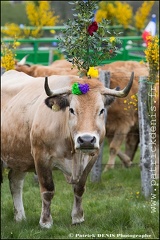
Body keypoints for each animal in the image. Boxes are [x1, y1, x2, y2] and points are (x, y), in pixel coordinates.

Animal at [1, 57, 159, 228]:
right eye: (71, 109)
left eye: (101, 110)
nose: (87, 140)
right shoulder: (41, 157)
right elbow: (48, 190)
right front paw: (45, 222)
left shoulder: (91, 158)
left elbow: (79, 188)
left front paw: (77, 218)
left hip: (19, 156)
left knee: (15, 181)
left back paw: (20, 217)